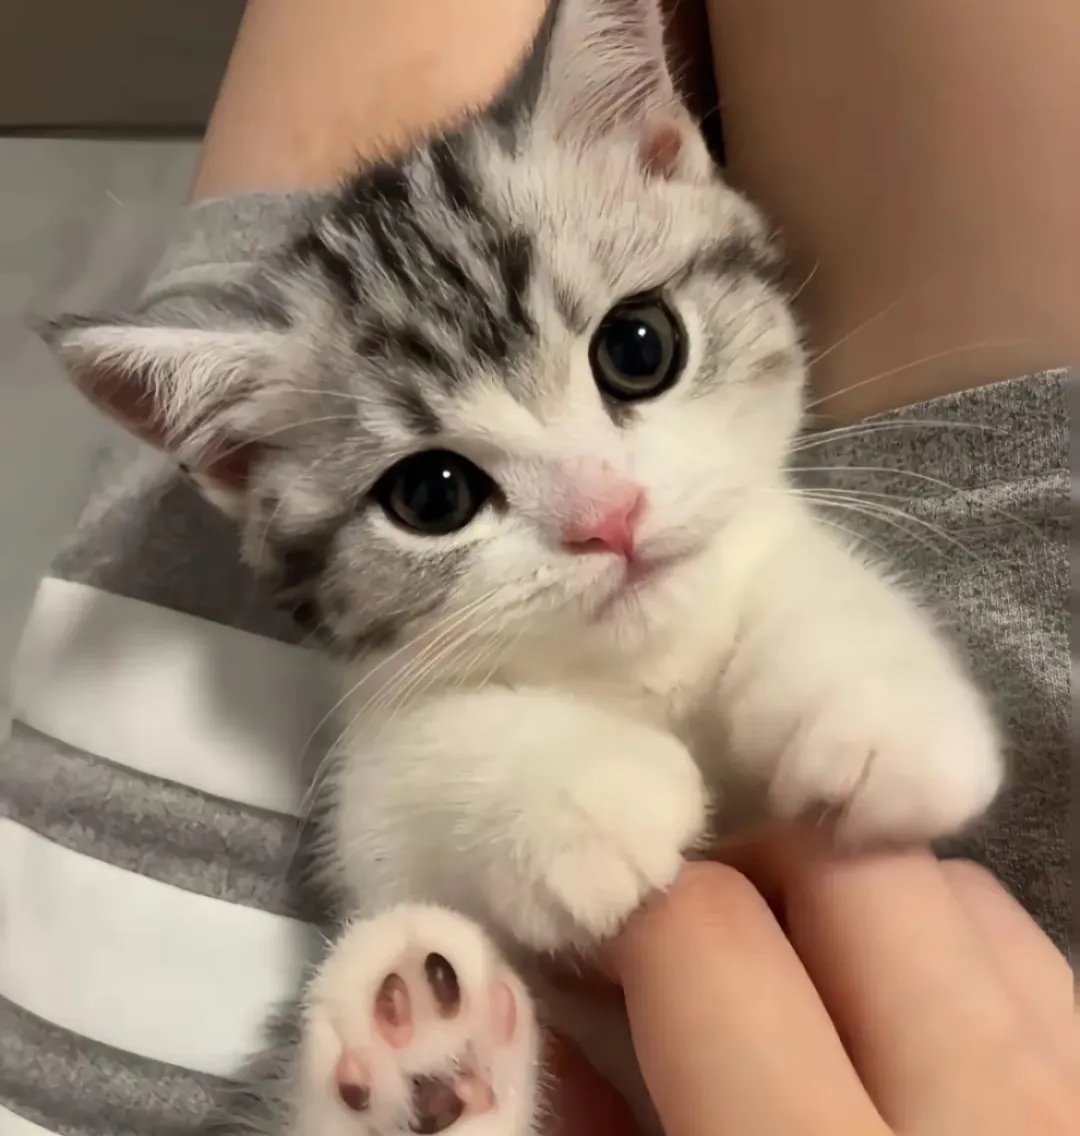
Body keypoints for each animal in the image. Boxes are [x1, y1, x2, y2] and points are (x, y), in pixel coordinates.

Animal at [42, 1, 1003, 1133]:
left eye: (641, 346)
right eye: (432, 495)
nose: (609, 517)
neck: (643, 668)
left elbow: (793, 564)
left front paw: (873, 711)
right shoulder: (371, 812)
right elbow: (420, 752)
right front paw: (594, 792)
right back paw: (419, 1049)